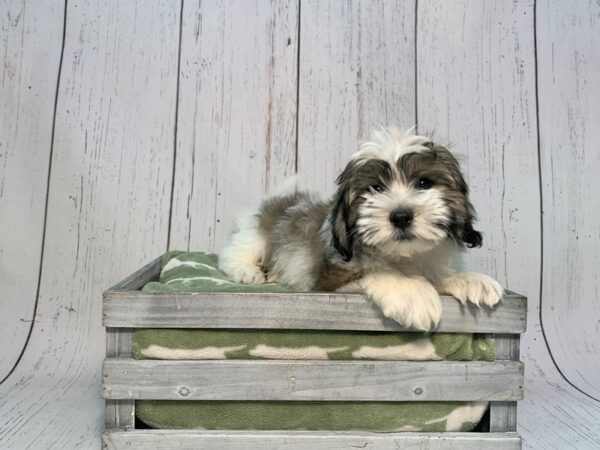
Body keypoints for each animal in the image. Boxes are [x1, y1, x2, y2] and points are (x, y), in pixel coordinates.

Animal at [219, 126, 502, 330]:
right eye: (376, 188)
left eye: (423, 183)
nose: (401, 216)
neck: (403, 255)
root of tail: (276, 201)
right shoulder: (328, 278)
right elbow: (377, 271)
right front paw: (412, 293)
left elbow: (439, 274)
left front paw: (468, 280)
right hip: (255, 236)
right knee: (232, 257)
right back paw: (248, 272)